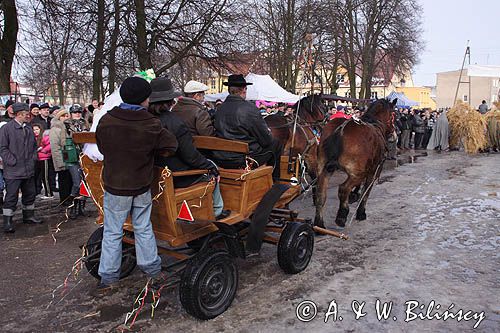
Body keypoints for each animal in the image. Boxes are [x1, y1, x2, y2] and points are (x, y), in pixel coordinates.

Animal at [314, 98, 396, 228]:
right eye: (393, 115)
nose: (393, 131)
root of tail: (341, 129)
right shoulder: (373, 172)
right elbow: (365, 193)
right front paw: (361, 212)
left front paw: (354, 195)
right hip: (358, 173)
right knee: (343, 189)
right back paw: (342, 215)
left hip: (324, 169)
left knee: (321, 193)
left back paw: (319, 223)